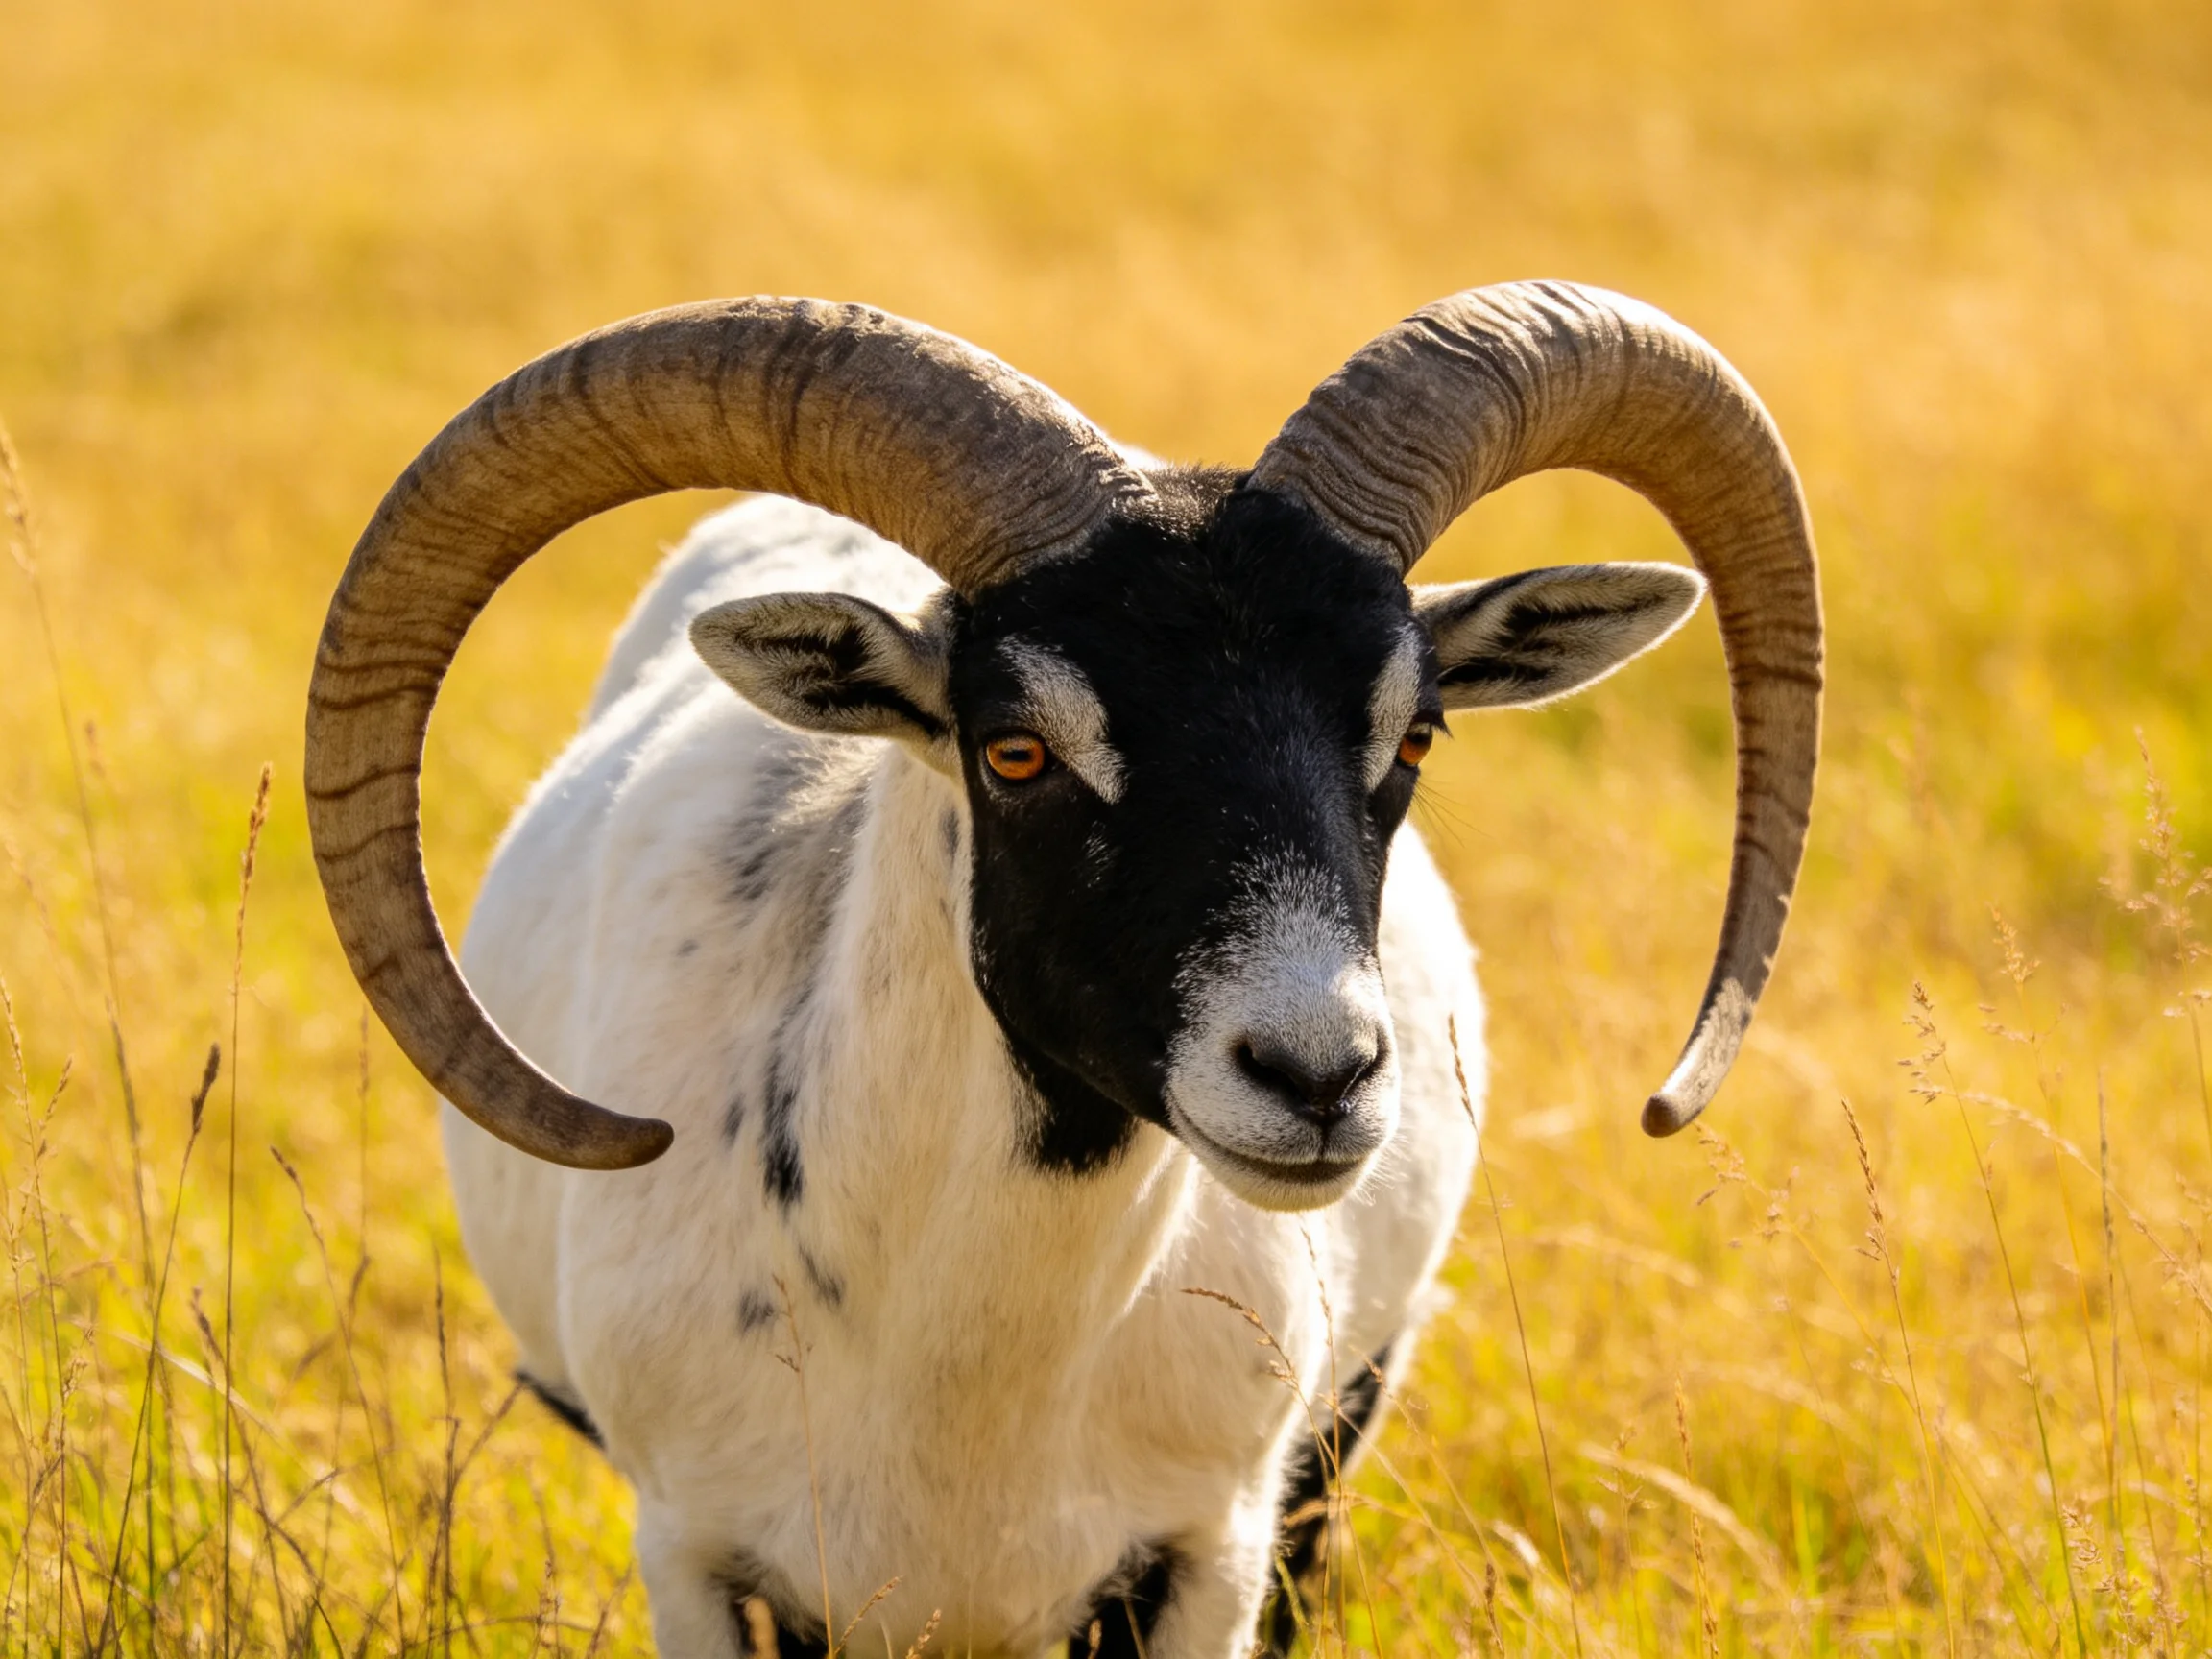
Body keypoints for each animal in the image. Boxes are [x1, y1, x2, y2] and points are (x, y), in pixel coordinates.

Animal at [305, 282, 1820, 1657]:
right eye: (1015, 748)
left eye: (1413, 734)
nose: (1316, 1076)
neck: (963, 1387)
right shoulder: (695, 1556)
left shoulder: (1212, 1549)